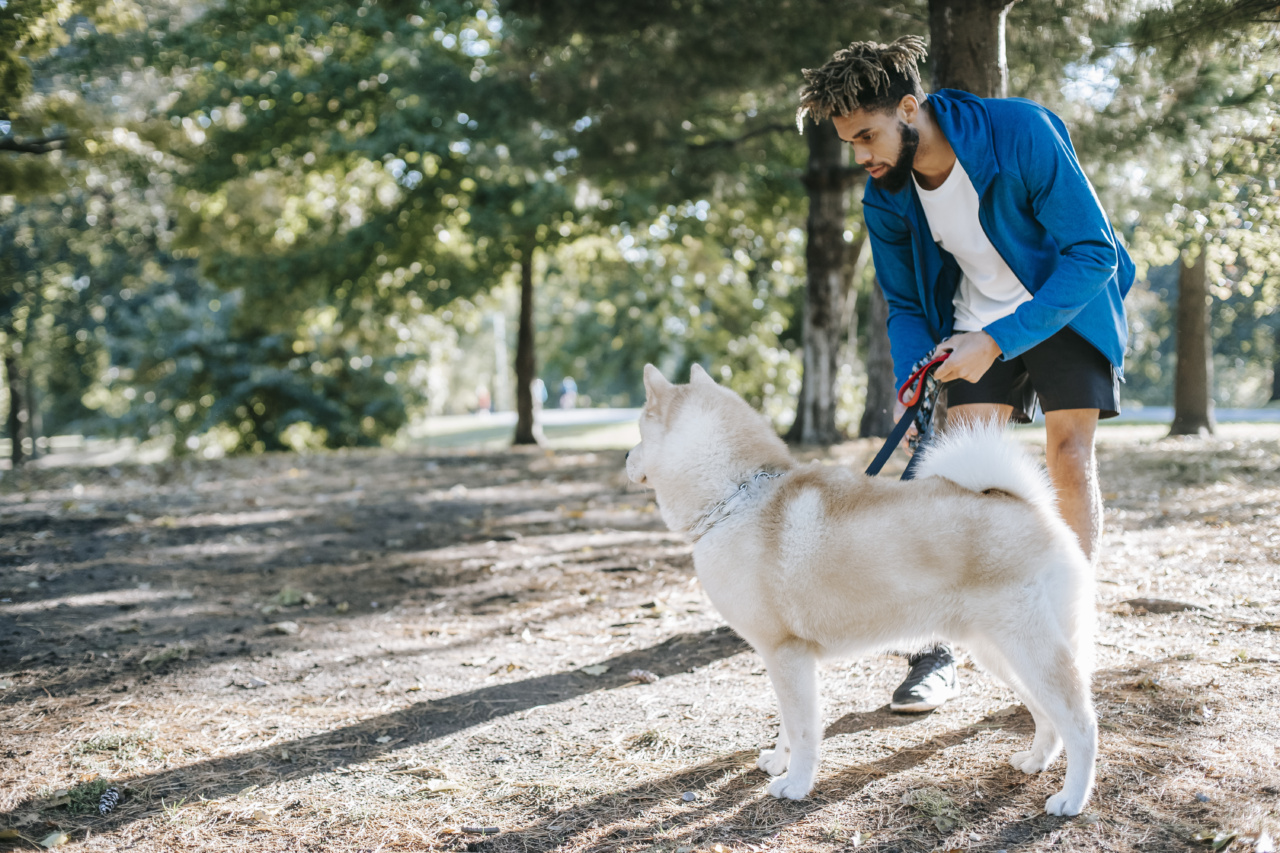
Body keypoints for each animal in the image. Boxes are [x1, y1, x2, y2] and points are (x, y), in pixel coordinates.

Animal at [624, 361, 1095, 814]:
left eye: (640, 432)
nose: (626, 454)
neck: (737, 499)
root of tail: (1027, 505)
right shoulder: (786, 662)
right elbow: (786, 725)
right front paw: (777, 761)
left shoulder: (785, 654)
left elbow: (802, 729)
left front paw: (795, 784)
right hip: (999, 654)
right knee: (1047, 717)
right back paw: (1035, 761)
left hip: (1028, 649)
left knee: (1080, 723)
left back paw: (1071, 799)